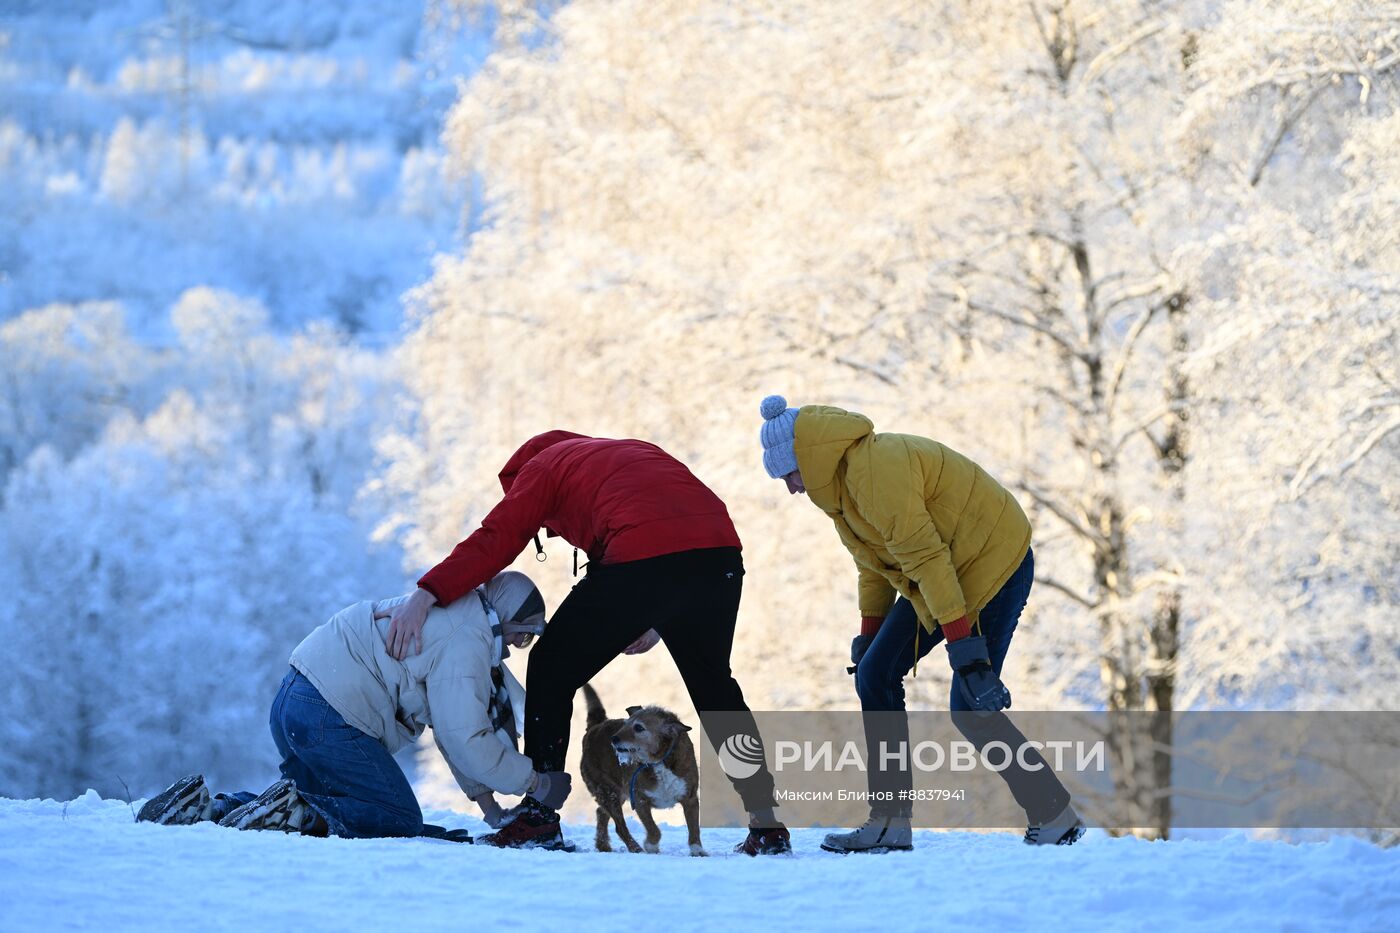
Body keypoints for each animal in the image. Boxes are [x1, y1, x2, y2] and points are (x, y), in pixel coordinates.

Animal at [579, 680, 705, 851]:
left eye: (639, 727)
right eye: (625, 724)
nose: (613, 739)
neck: (658, 760)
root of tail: (594, 727)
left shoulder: (689, 798)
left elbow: (694, 830)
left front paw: (697, 851)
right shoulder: (639, 800)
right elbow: (654, 829)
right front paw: (651, 845)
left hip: (617, 793)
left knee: (601, 812)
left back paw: (603, 845)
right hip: (607, 791)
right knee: (619, 826)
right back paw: (635, 848)